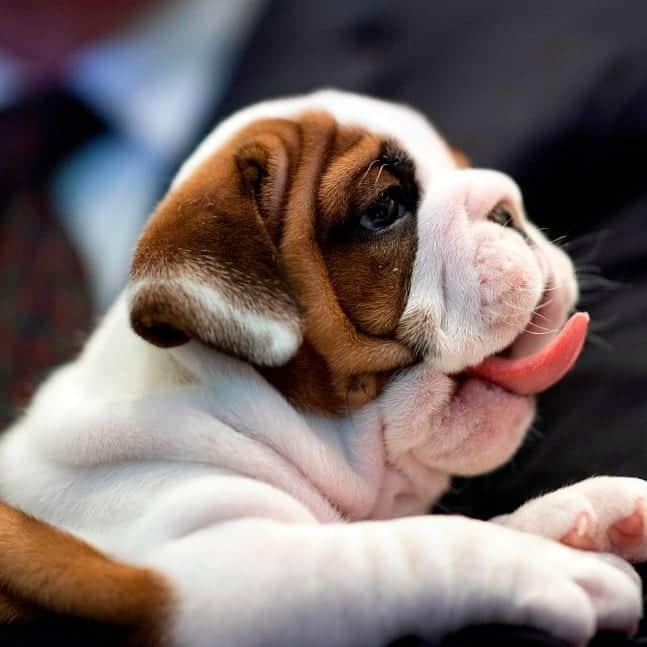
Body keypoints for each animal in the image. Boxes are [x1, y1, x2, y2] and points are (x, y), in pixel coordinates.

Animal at [1, 90, 647, 644]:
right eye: (384, 209)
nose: (506, 205)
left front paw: (579, 514)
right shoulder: (213, 573)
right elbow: (400, 548)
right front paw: (546, 563)